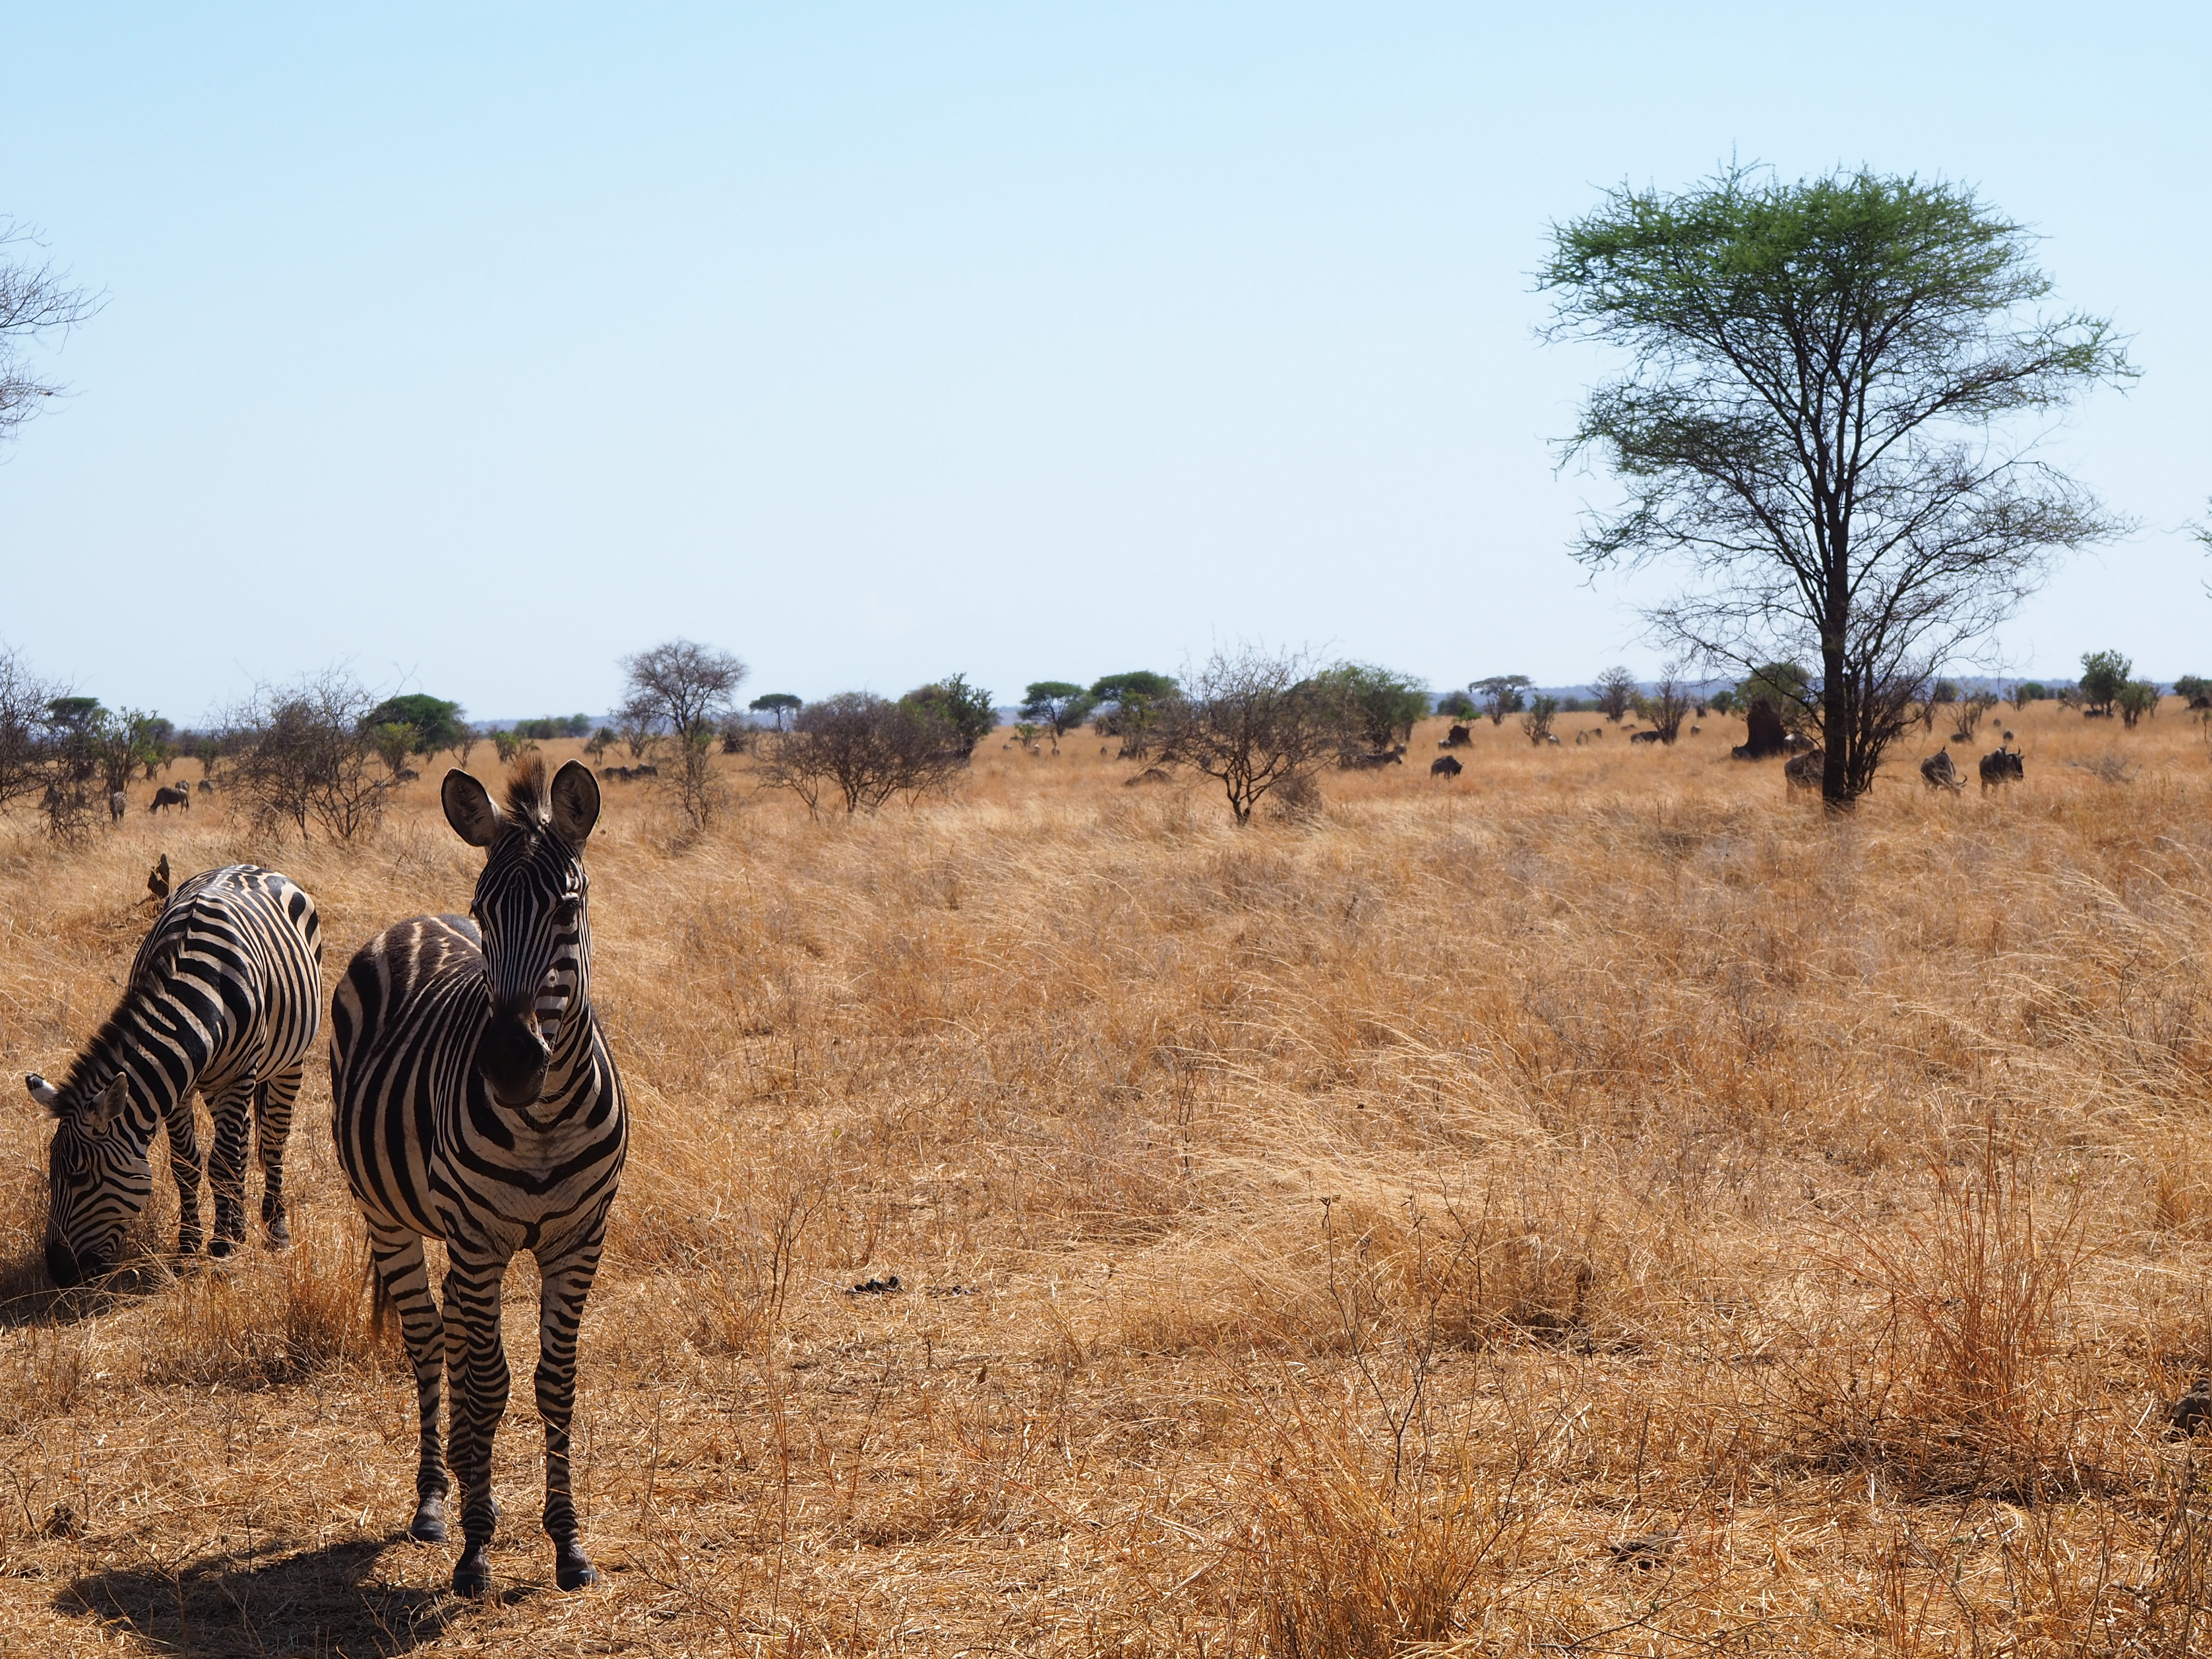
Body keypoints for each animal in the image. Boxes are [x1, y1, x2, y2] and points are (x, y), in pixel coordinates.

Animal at [21, 871, 321, 1283]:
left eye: (79, 1177)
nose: (58, 1271)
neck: (201, 993)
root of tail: (254, 866)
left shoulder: (241, 1073)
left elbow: (222, 1161)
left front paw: (221, 1247)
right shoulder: (181, 1084)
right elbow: (187, 1163)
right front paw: (190, 1244)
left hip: (286, 1063)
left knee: (273, 1139)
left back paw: (275, 1228)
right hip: (218, 1083)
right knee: (243, 1137)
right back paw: (240, 1226)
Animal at [336, 765, 632, 1601]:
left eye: (568, 908)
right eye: (483, 912)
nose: (508, 1063)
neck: (544, 1119)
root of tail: (414, 921)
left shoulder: (579, 1240)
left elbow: (553, 1382)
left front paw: (568, 1545)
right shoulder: (480, 1237)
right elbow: (491, 1381)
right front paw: (475, 1549)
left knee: (460, 1343)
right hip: (390, 1217)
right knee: (432, 1342)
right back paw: (438, 1500)